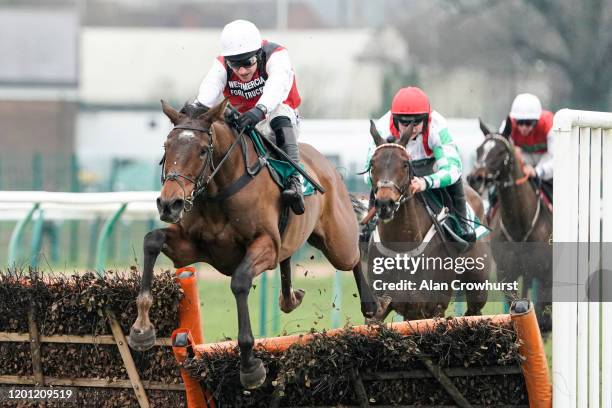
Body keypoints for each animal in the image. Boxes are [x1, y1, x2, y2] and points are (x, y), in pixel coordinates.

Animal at [127, 99, 380, 388]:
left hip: (337, 241)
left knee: (354, 256)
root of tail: (328, 166)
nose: (170, 204)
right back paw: (290, 298)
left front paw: (249, 365)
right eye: (166, 147)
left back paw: (371, 307)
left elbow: (239, 282)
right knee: (288, 261)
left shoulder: (265, 245)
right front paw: (141, 328)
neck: (218, 192)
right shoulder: (190, 248)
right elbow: (151, 241)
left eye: (202, 150)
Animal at [366, 122, 490, 320]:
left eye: (405, 164)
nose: (385, 204)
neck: (401, 247)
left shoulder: (432, 306)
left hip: (478, 286)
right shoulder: (382, 305)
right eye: (372, 163)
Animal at [466, 121, 552, 328]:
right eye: (479, 150)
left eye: (500, 152)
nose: (475, 178)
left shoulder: (545, 273)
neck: (520, 226)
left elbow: (542, 315)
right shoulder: (506, 273)